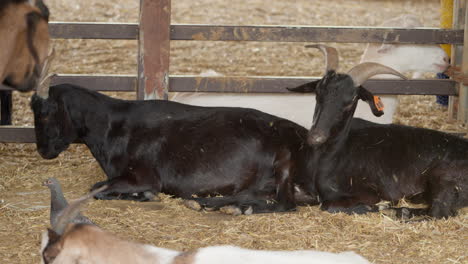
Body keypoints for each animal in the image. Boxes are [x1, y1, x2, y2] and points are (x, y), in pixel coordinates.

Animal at [30, 82, 322, 214]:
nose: (42, 150)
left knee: (286, 204)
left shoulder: (144, 176)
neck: (112, 127)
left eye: (44, 113)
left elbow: (97, 188)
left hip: (284, 163)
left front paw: (144, 195)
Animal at [288, 44, 468, 219]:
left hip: (443, 179)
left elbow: (329, 205)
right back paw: (401, 211)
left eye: (352, 99)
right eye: (318, 93)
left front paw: (377, 206)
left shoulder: (370, 193)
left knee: (439, 212)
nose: (316, 137)